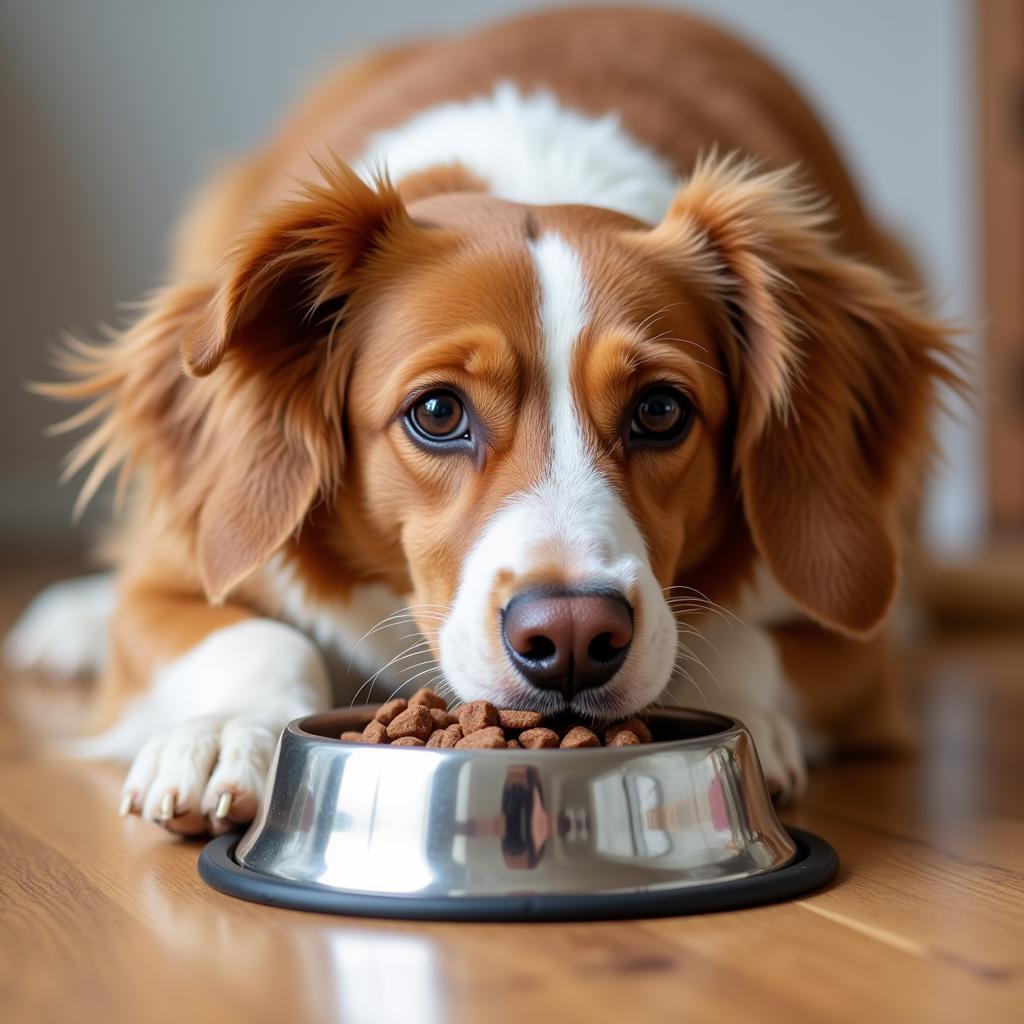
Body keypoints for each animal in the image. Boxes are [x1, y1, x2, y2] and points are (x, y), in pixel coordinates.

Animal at [6, 8, 958, 835]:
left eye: (660, 410)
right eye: (437, 412)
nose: (572, 636)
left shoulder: (858, 649)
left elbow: (732, 643)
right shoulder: (178, 578)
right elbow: (257, 639)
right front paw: (225, 731)